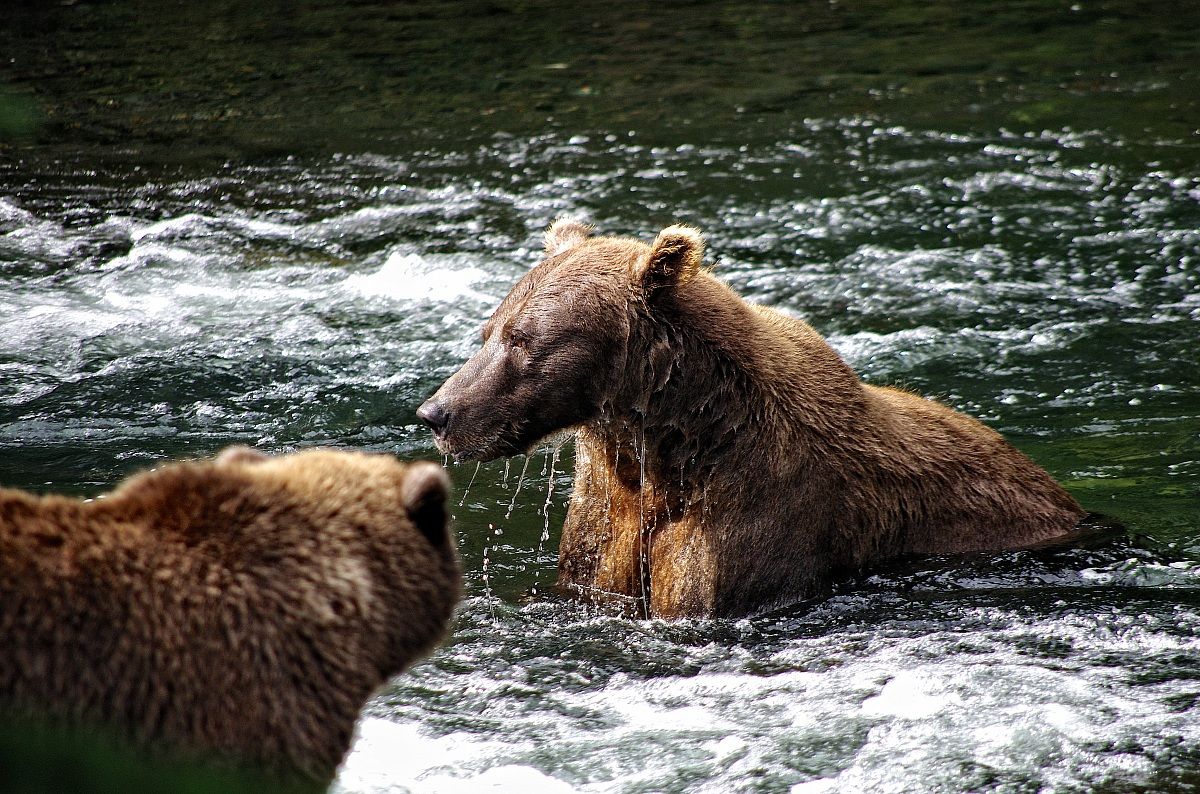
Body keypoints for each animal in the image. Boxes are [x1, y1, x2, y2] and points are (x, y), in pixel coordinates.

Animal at [417, 219, 1086, 620]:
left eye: (525, 341)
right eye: (489, 331)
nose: (437, 413)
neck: (673, 444)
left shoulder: (756, 512)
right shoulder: (608, 513)